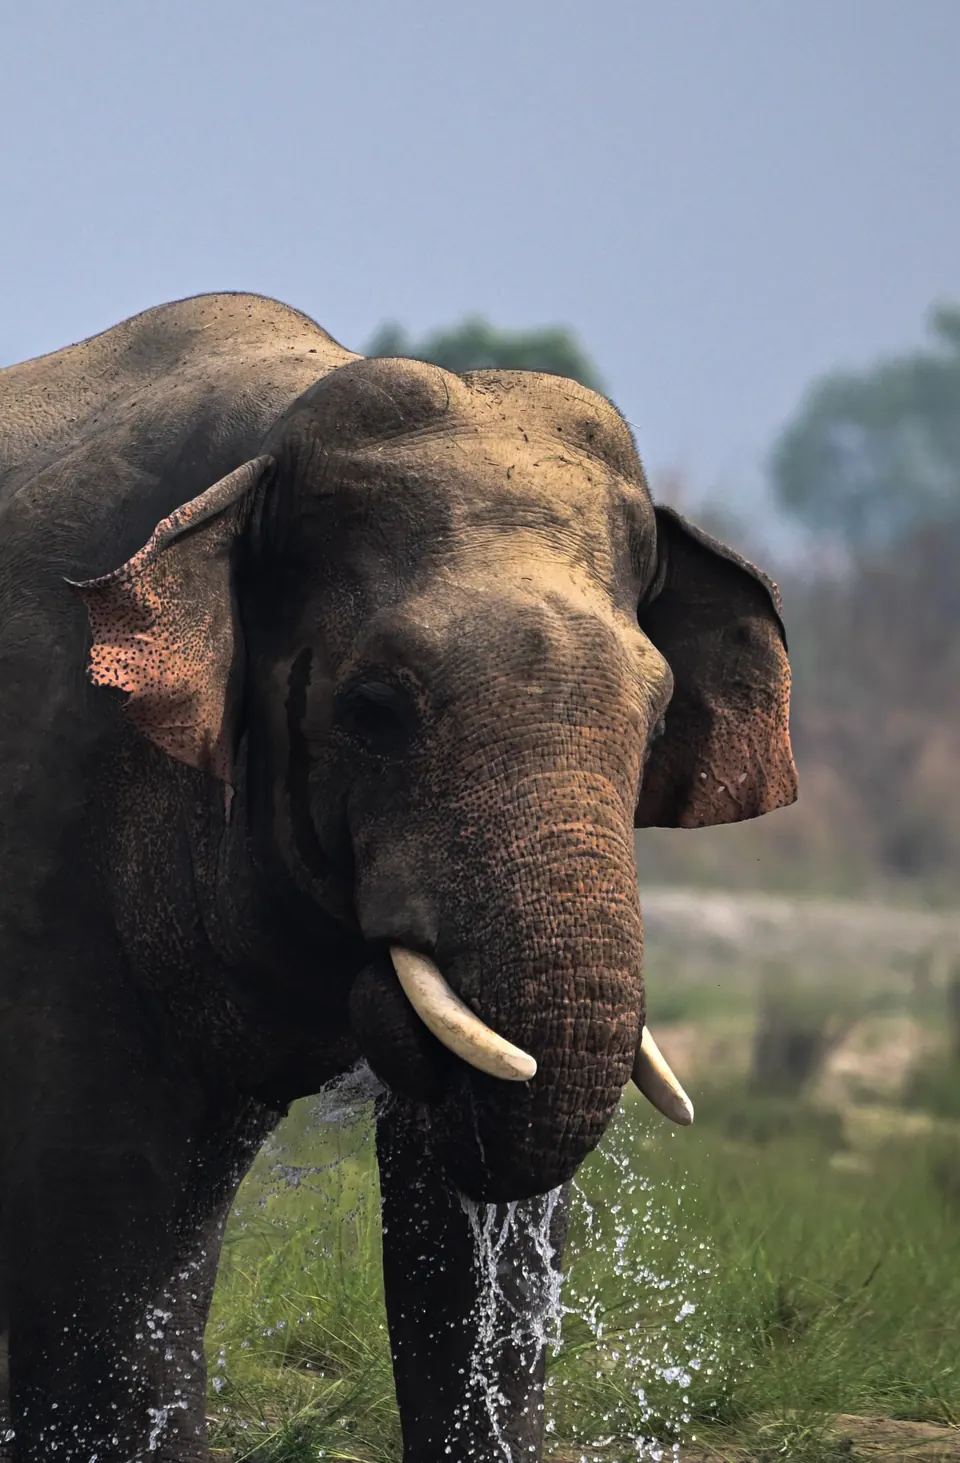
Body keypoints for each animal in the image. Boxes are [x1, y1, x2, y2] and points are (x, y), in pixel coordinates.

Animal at [0, 292, 797, 1462]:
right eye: (374, 708)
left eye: (655, 721)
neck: (264, 446)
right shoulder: (49, 798)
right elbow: (94, 1197)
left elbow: (465, 1236)